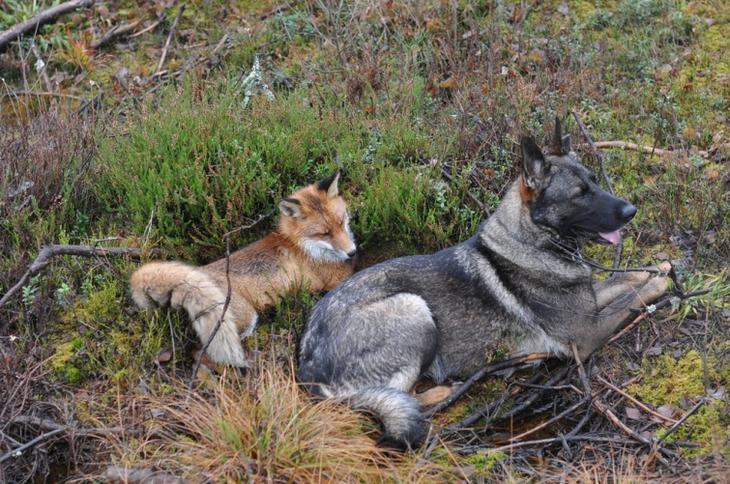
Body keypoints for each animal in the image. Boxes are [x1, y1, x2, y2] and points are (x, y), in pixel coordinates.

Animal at [132, 173, 358, 366]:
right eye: (324, 233)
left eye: (341, 222)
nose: (352, 252)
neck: (300, 245)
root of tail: (197, 273)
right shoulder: (335, 280)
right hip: (243, 320)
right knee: (203, 352)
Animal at [294, 120, 664, 450]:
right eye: (580, 194)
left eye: (594, 182)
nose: (632, 210)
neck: (534, 241)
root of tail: (308, 370)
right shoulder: (586, 334)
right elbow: (634, 296)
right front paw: (661, 282)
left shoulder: (590, 304)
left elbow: (623, 279)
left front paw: (659, 267)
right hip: (413, 307)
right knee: (398, 397)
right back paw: (446, 389)